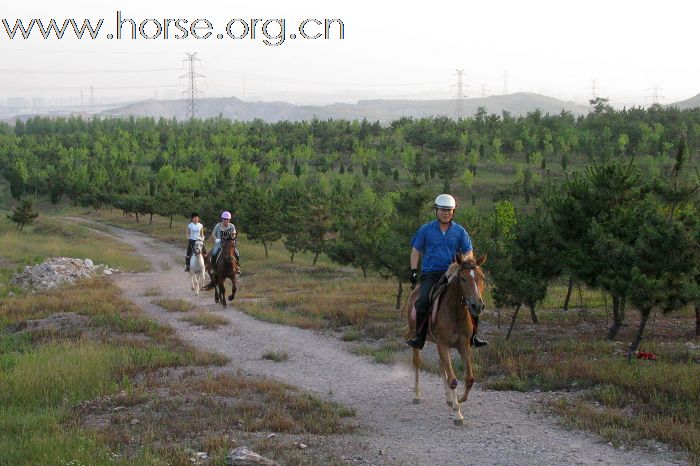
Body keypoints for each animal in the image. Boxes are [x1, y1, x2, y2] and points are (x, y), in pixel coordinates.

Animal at [404, 253, 486, 424]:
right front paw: (457, 413)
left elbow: (469, 379)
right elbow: (453, 380)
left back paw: (449, 399)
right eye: (463, 278)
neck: (455, 312)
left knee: (442, 367)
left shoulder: (463, 346)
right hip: (418, 340)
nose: (477, 306)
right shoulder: (443, 344)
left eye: (482, 277)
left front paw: (458, 400)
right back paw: (417, 395)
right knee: (417, 363)